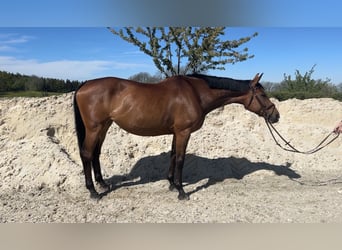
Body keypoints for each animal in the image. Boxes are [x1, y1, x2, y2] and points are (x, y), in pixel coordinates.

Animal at [73, 73, 280, 200]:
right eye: (262, 94)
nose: (275, 116)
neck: (196, 93)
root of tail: (84, 84)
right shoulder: (183, 132)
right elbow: (180, 158)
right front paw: (181, 191)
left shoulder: (175, 132)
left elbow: (173, 155)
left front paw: (171, 184)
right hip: (94, 128)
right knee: (86, 153)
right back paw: (93, 191)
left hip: (104, 126)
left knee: (96, 153)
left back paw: (102, 184)